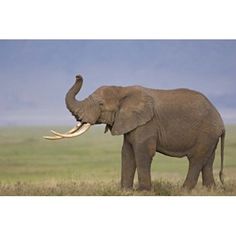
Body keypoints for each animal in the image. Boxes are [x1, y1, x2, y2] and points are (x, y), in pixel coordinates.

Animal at [43, 74, 225, 191]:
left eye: (101, 104)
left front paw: (143, 192)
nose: (78, 76)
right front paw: (125, 191)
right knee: (207, 160)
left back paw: (184, 190)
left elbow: (142, 151)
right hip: (210, 136)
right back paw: (210, 191)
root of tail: (221, 121)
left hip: (206, 132)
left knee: (196, 159)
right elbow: (127, 152)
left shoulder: (147, 123)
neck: (122, 90)